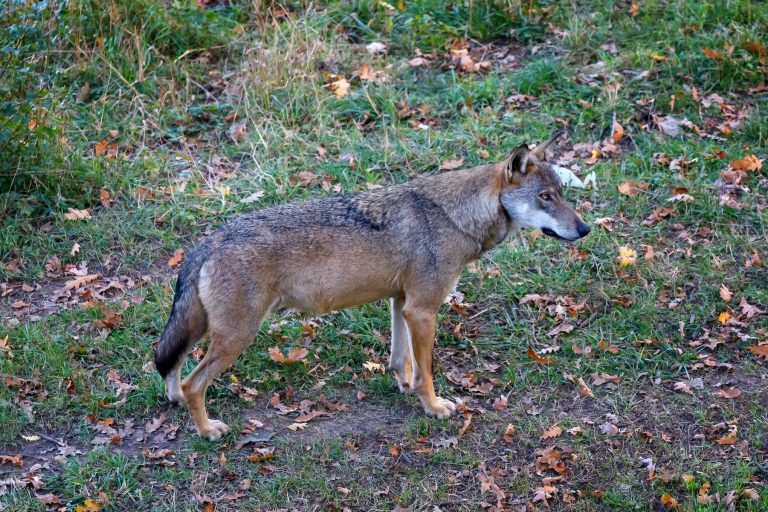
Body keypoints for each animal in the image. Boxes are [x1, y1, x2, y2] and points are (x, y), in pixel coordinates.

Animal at [153, 131, 592, 440]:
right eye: (545, 197)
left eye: (562, 194)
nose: (585, 229)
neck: (456, 217)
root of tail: (210, 239)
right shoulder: (423, 309)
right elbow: (425, 370)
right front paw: (434, 407)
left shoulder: (401, 303)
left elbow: (401, 360)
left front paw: (404, 387)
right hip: (237, 337)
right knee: (193, 382)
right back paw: (207, 431)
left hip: (206, 329)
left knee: (170, 363)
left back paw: (174, 400)